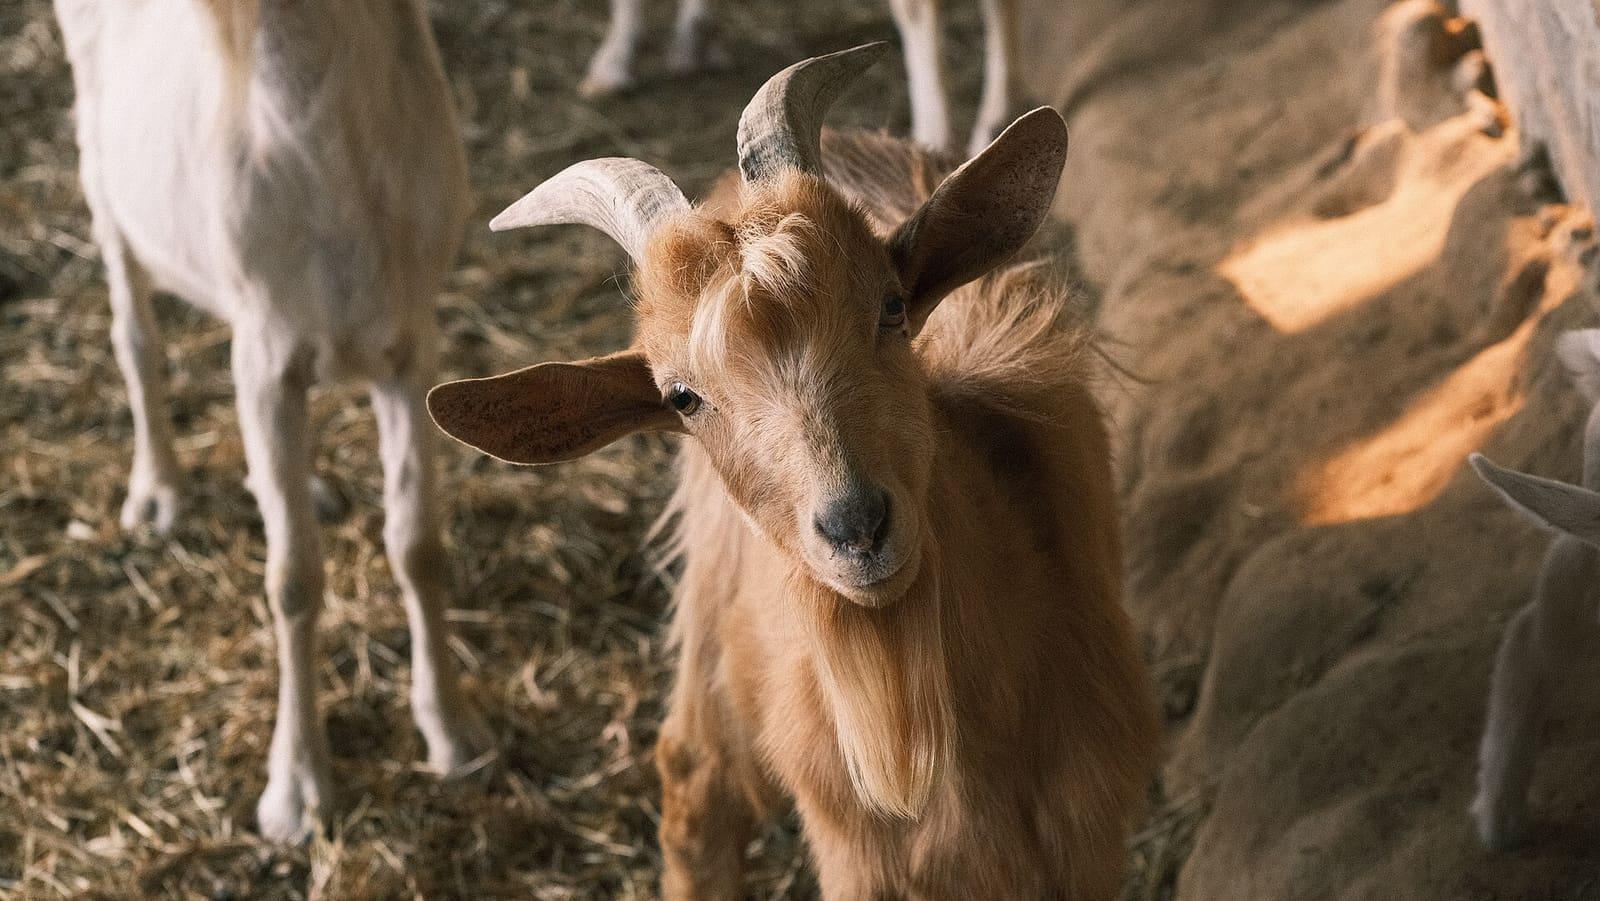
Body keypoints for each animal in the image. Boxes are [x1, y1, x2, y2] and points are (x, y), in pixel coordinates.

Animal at [52, 0, 488, 841]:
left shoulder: (410, 344)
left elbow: (418, 544)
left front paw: (454, 733)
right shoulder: (264, 359)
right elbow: (292, 578)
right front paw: (297, 791)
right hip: (100, 165)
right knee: (134, 332)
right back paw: (157, 491)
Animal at [431, 43, 1159, 897]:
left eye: (891, 306)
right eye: (682, 396)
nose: (857, 526)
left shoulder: (1086, 832)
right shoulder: (861, 855)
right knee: (696, 781)